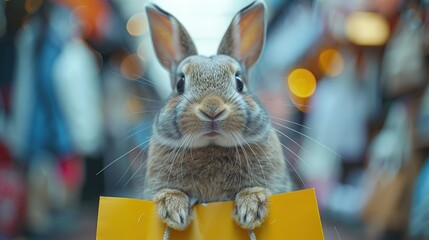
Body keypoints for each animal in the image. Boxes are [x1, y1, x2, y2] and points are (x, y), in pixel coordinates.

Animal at [142, 0, 292, 232]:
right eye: (180, 84)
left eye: (239, 82)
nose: (212, 109)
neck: (212, 145)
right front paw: (174, 209)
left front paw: (251, 207)